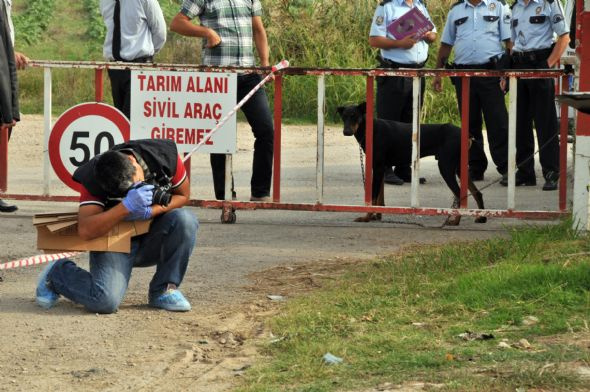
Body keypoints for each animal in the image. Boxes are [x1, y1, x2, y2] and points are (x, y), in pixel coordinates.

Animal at [340, 102, 488, 225]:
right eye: (344, 117)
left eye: (354, 116)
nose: (346, 132)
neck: (370, 129)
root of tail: (466, 135)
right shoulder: (380, 168)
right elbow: (380, 197)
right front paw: (377, 215)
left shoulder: (377, 168)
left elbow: (373, 196)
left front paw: (367, 217)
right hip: (459, 168)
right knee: (477, 193)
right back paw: (481, 217)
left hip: (445, 167)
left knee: (459, 195)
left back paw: (456, 221)